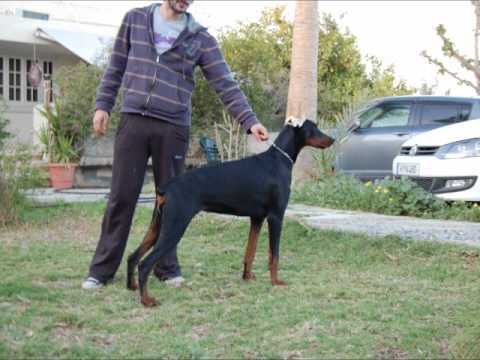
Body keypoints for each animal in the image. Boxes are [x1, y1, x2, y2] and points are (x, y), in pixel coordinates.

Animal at [129, 119, 336, 306]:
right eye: (314, 128)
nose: (332, 139)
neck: (279, 160)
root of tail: (166, 188)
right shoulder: (276, 217)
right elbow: (274, 255)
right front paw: (276, 282)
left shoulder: (257, 218)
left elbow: (250, 251)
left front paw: (247, 276)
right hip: (175, 226)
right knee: (145, 264)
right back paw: (146, 300)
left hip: (158, 225)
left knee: (133, 256)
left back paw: (131, 287)